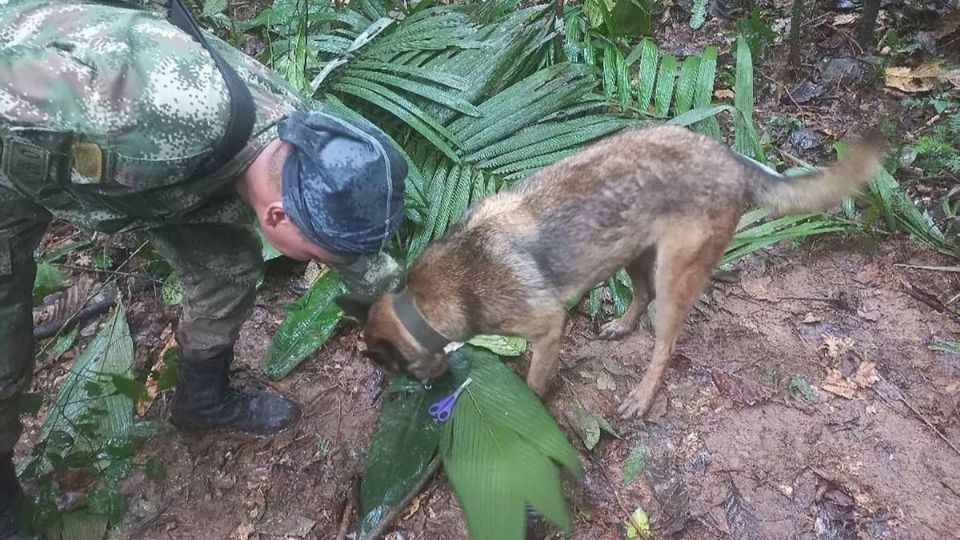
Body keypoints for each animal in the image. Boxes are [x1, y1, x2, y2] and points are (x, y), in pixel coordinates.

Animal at [338, 125, 884, 418]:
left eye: (395, 370)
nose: (430, 392)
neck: (425, 301)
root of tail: (730, 158)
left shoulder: (548, 328)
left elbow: (534, 381)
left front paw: (530, 407)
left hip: (673, 275)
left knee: (664, 343)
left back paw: (642, 396)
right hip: (634, 254)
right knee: (640, 297)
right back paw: (621, 325)